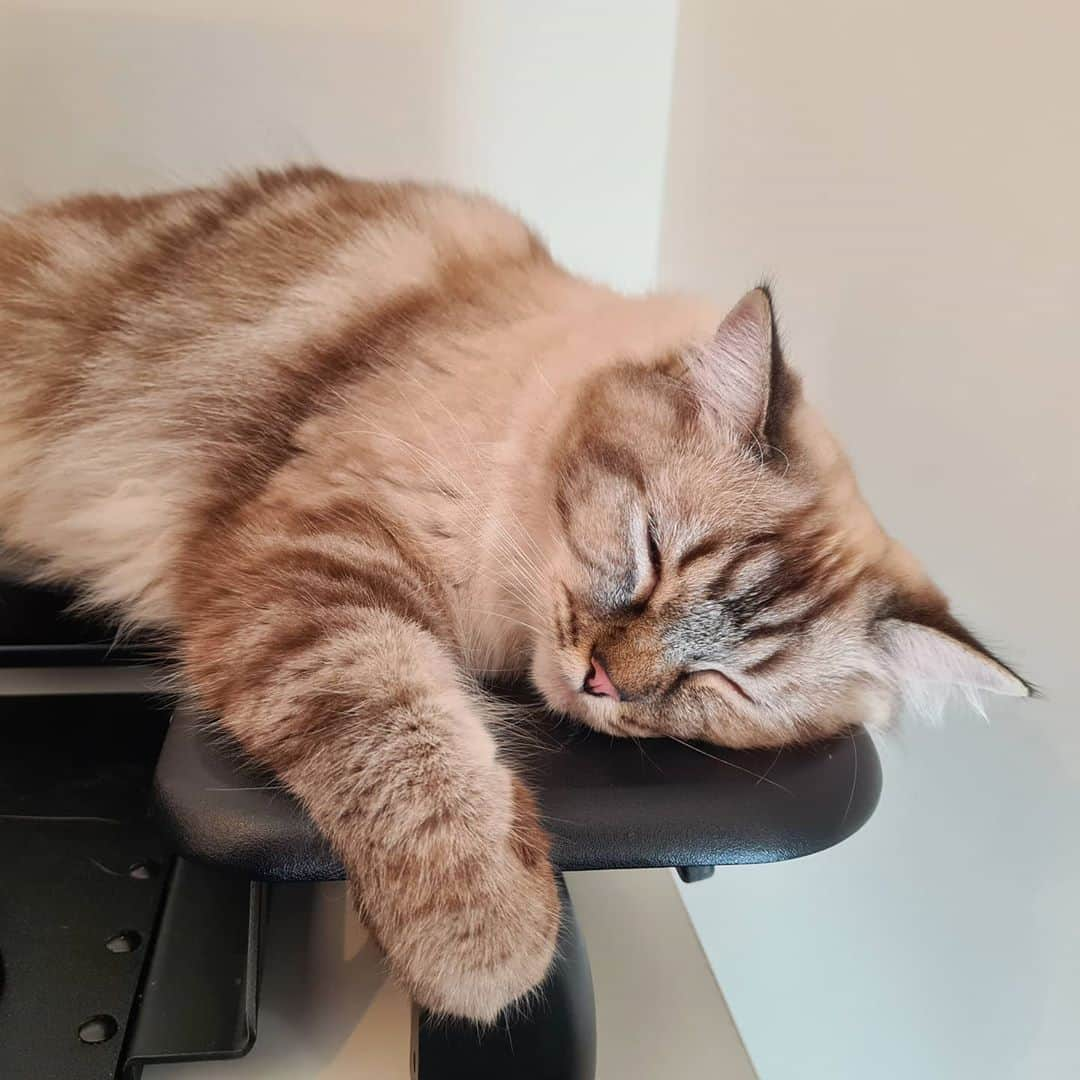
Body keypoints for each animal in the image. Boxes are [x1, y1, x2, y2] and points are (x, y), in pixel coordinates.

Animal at [0, 166, 1028, 1019]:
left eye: (726, 686)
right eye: (651, 559)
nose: (605, 681)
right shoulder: (314, 565)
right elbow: (413, 748)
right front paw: (487, 954)